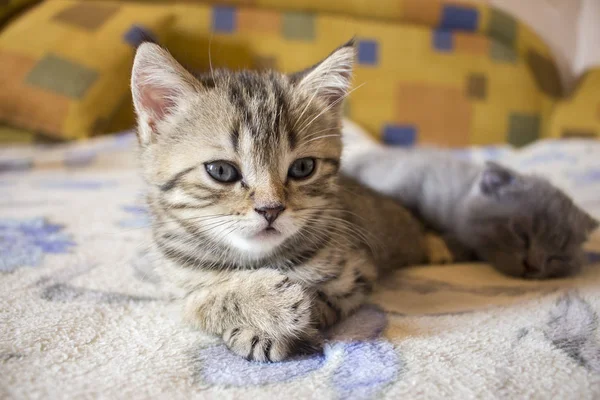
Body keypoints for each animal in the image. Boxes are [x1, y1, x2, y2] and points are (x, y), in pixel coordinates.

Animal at [131, 40, 442, 362]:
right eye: (221, 171)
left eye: (303, 167)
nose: (271, 209)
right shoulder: (172, 284)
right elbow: (198, 301)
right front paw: (265, 302)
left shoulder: (356, 271)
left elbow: (323, 299)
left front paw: (281, 320)